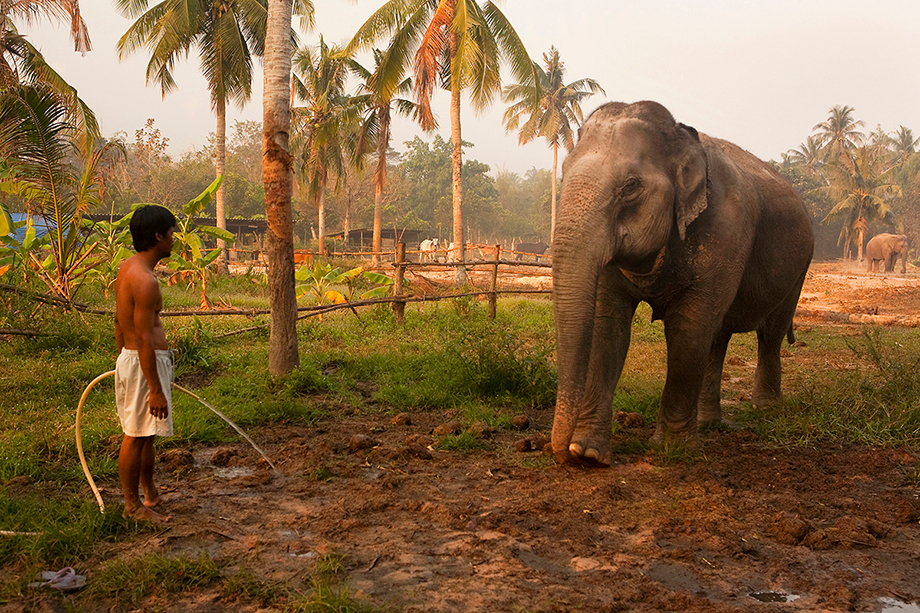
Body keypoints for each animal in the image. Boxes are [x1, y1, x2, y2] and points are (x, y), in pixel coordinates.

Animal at [548, 100, 816, 464]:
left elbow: (688, 327)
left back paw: (765, 408)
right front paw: (588, 453)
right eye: (564, 171)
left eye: (630, 186)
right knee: (718, 335)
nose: (561, 454)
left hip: (799, 266)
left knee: (769, 333)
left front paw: (672, 450)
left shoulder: (724, 230)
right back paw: (707, 423)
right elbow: (608, 325)